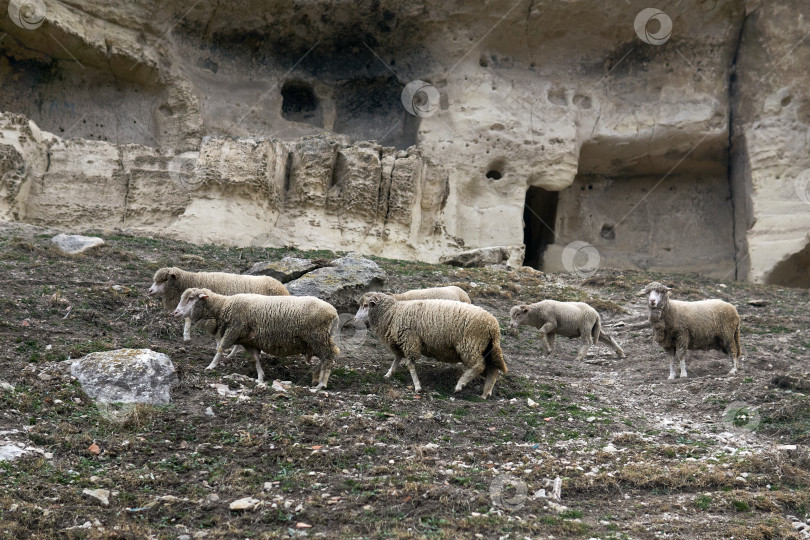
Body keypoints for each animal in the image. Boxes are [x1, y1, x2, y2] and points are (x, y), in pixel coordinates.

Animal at [170, 286, 338, 388]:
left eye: (191, 298)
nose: (175, 313)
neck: (223, 307)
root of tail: (334, 313)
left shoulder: (233, 329)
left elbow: (220, 348)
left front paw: (211, 366)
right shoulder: (249, 341)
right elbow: (255, 359)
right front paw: (260, 377)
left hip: (318, 338)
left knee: (329, 358)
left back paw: (321, 384)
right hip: (318, 341)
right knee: (326, 358)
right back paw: (316, 378)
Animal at [352, 294, 504, 398]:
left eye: (365, 305)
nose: (354, 319)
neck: (393, 313)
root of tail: (493, 326)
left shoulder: (410, 341)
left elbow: (410, 364)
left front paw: (417, 386)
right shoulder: (400, 343)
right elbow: (396, 359)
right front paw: (388, 374)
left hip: (470, 345)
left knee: (479, 366)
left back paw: (460, 385)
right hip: (486, 348)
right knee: (493, 370)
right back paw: (485, 393)